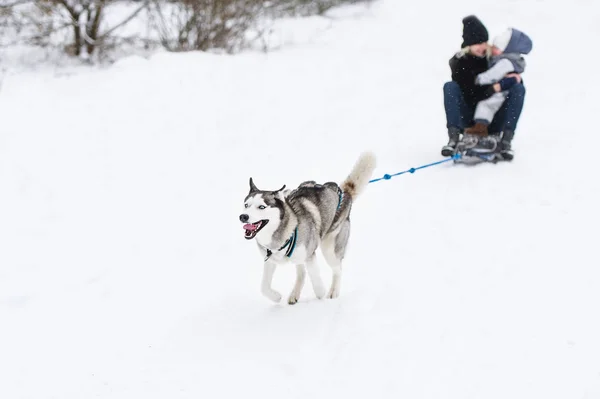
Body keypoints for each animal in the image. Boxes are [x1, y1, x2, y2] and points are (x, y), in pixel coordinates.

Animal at [239, 152, 376, 304]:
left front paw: (321, 293)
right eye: (246, 205)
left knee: (337, 269)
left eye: (262, 207)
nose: (243, 216)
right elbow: (263, 287)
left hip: (329, 249)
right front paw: (276, 297)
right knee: (302, 273)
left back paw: (333, 291)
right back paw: (295, 294)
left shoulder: (310, 255)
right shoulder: (270, 260)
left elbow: (316, 279)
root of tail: (343, 193)